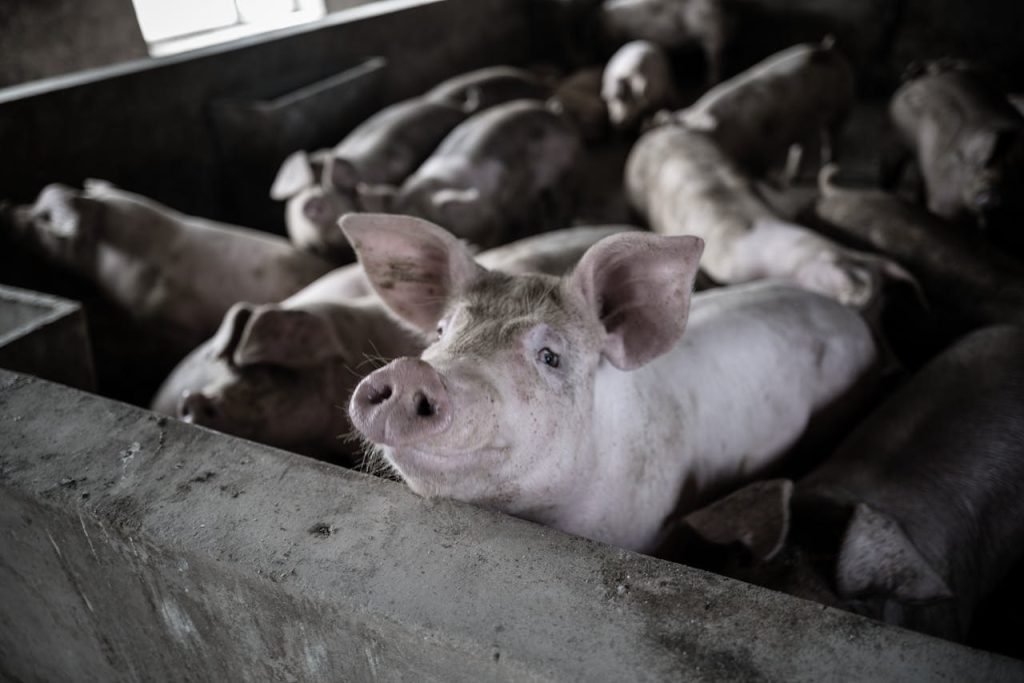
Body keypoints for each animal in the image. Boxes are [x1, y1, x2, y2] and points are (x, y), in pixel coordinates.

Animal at [676, 37, 855, 180]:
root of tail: (827, 47)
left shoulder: (758, 150)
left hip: (843, 105)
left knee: (830, 137)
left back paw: (830, 167)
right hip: (803, 124)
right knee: (800, 147)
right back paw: (790, 177)